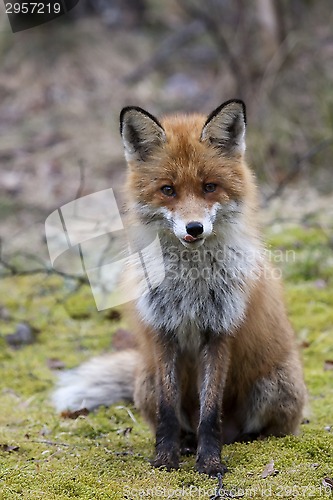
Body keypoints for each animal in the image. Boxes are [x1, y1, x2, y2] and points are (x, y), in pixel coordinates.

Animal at [53, 100, 304, 476]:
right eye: (168, 190)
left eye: (210, 187)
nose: (194, 228)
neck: (190, 285)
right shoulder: (163, 331)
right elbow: (168, 411)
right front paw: (165, 459)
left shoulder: (220, 331)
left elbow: (210, 413)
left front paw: (210, 463)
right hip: (146, 381)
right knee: (179, 419)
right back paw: (186, 444)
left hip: (275, 386)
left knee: (259, 430)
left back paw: (241, 440)